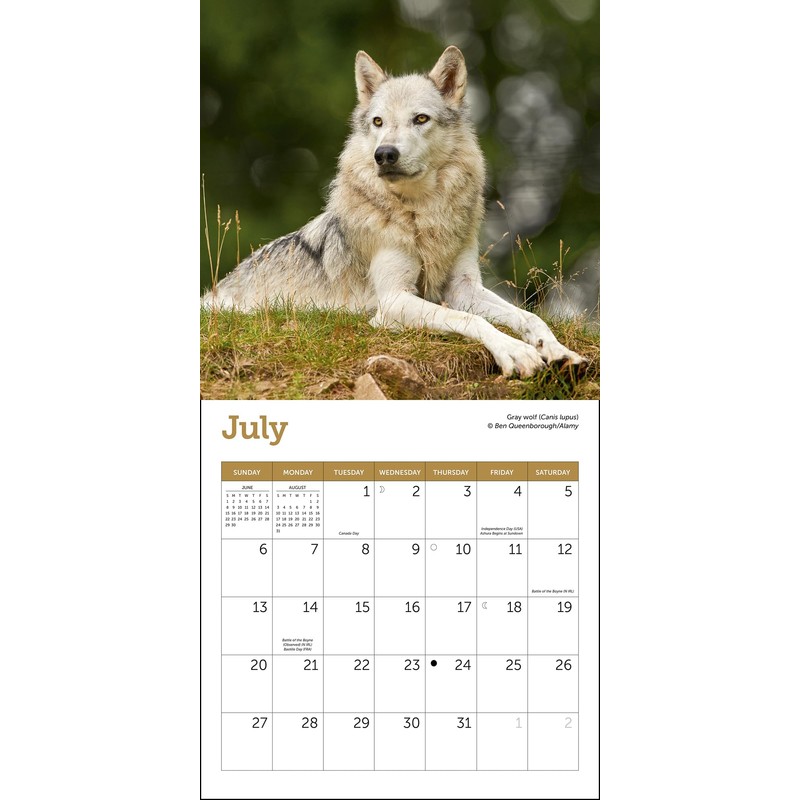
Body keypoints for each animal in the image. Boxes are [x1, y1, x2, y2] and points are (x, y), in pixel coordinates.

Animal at [202, 46, 586, 377]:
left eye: (420, 119)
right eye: (378, 122)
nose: (384, 154)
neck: (421, 213)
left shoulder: (463, 289)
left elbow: (529, 317)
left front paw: (557, 350)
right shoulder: (394, 300)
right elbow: (472, 321)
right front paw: (516, 352)